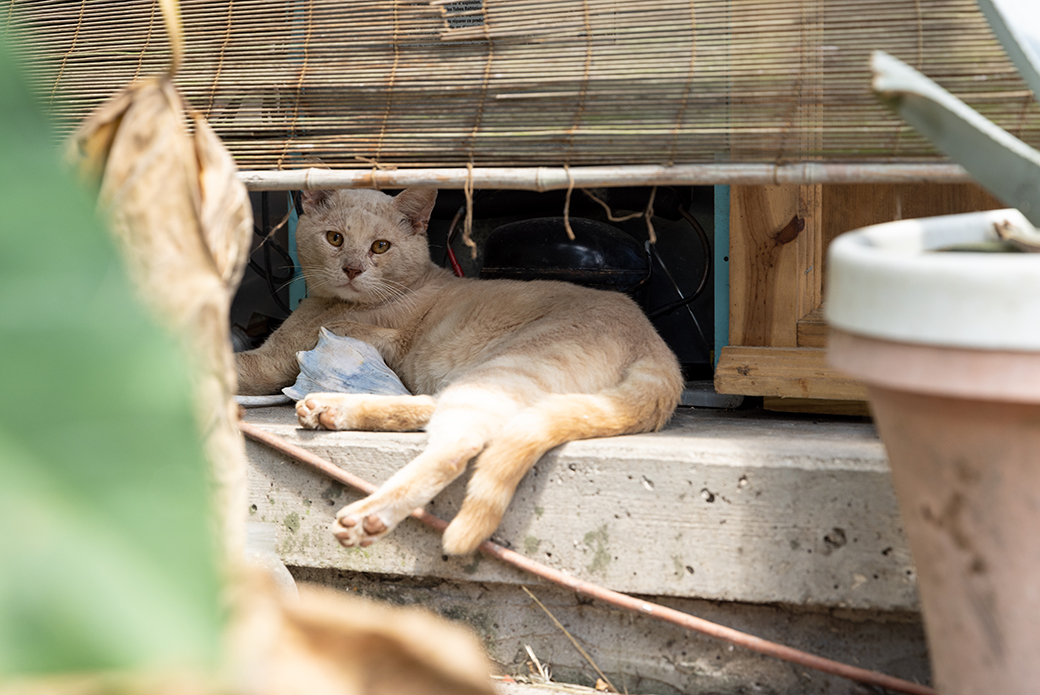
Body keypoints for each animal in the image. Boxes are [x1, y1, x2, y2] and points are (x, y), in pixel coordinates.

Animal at [238, 187, 686, 557]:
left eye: (380, 247)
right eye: (335, 239)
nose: (352, 269)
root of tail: (657, 347)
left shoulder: (273, 359)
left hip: (506, 370)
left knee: (460, 441)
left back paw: (370, 515)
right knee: (431, 408)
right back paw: (329, 409)